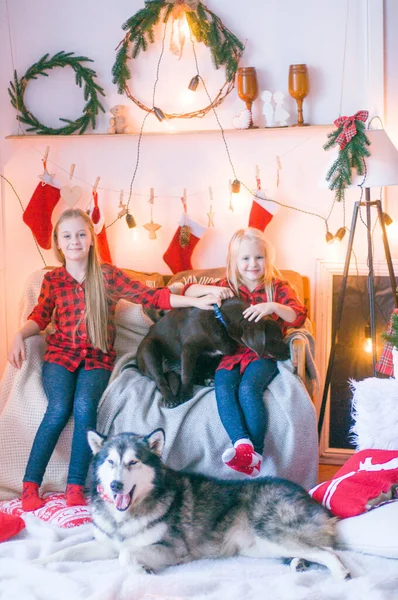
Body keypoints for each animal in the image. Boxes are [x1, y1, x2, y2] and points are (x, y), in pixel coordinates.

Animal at [39, 428, 352, 584]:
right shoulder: (105, 544)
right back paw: (300, 562)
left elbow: (127, 555)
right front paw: (37, 563)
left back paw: (341, 573)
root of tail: (307, 495)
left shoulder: (174, 549)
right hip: (260, 547)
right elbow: (65, 552)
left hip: (271, 532)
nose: (116, 485)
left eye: (133, 462)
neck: (124, 517)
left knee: (328, 552)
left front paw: (143, 571)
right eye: (110, 462)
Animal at [136, 298, 290, 410]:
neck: (222, 322)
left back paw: (207, 380)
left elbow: (193, 373)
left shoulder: (214, 356)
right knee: (160, 378)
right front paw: (185, 394)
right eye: (276, 338)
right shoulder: (188, 349)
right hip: (149, 349)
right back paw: (170, 398)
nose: (289, 352)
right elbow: (187, 375)